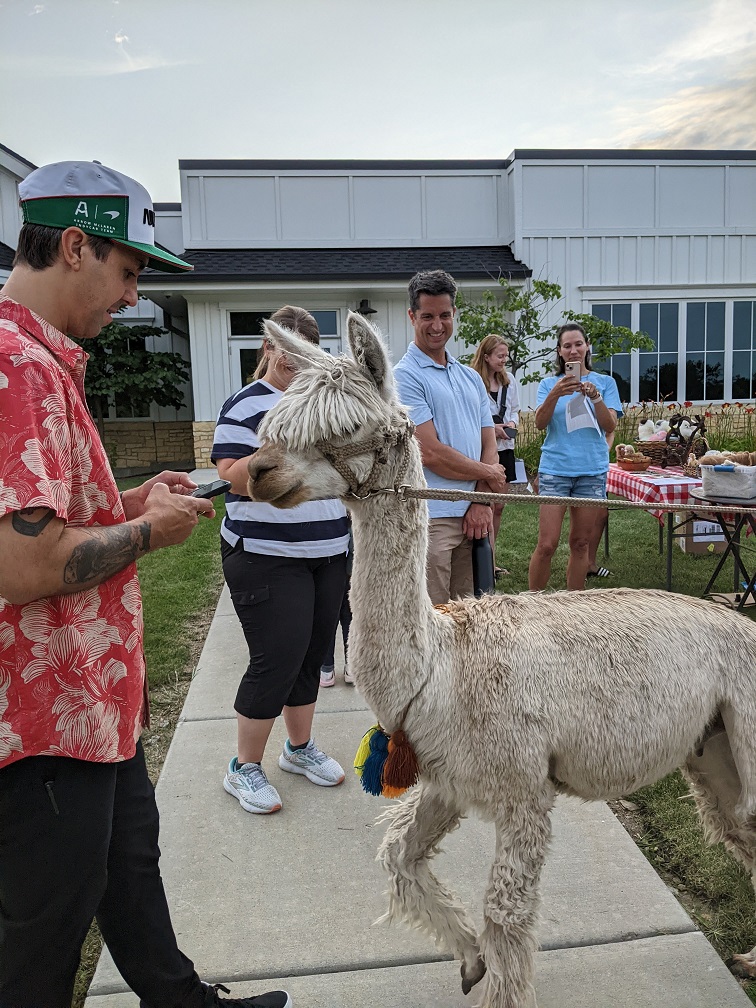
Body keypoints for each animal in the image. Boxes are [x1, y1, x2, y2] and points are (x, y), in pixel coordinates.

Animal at [246, 311, 756, 1008]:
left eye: (344, 427)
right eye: (274, 426)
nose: (257, 471)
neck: (441, 666)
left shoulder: (522, 789)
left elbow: (506, 914)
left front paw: (494, 976)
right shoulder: (448, 781)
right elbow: (400, 858)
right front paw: (468, 960)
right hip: (712, 749)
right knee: (743, 831)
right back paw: (753, 955)